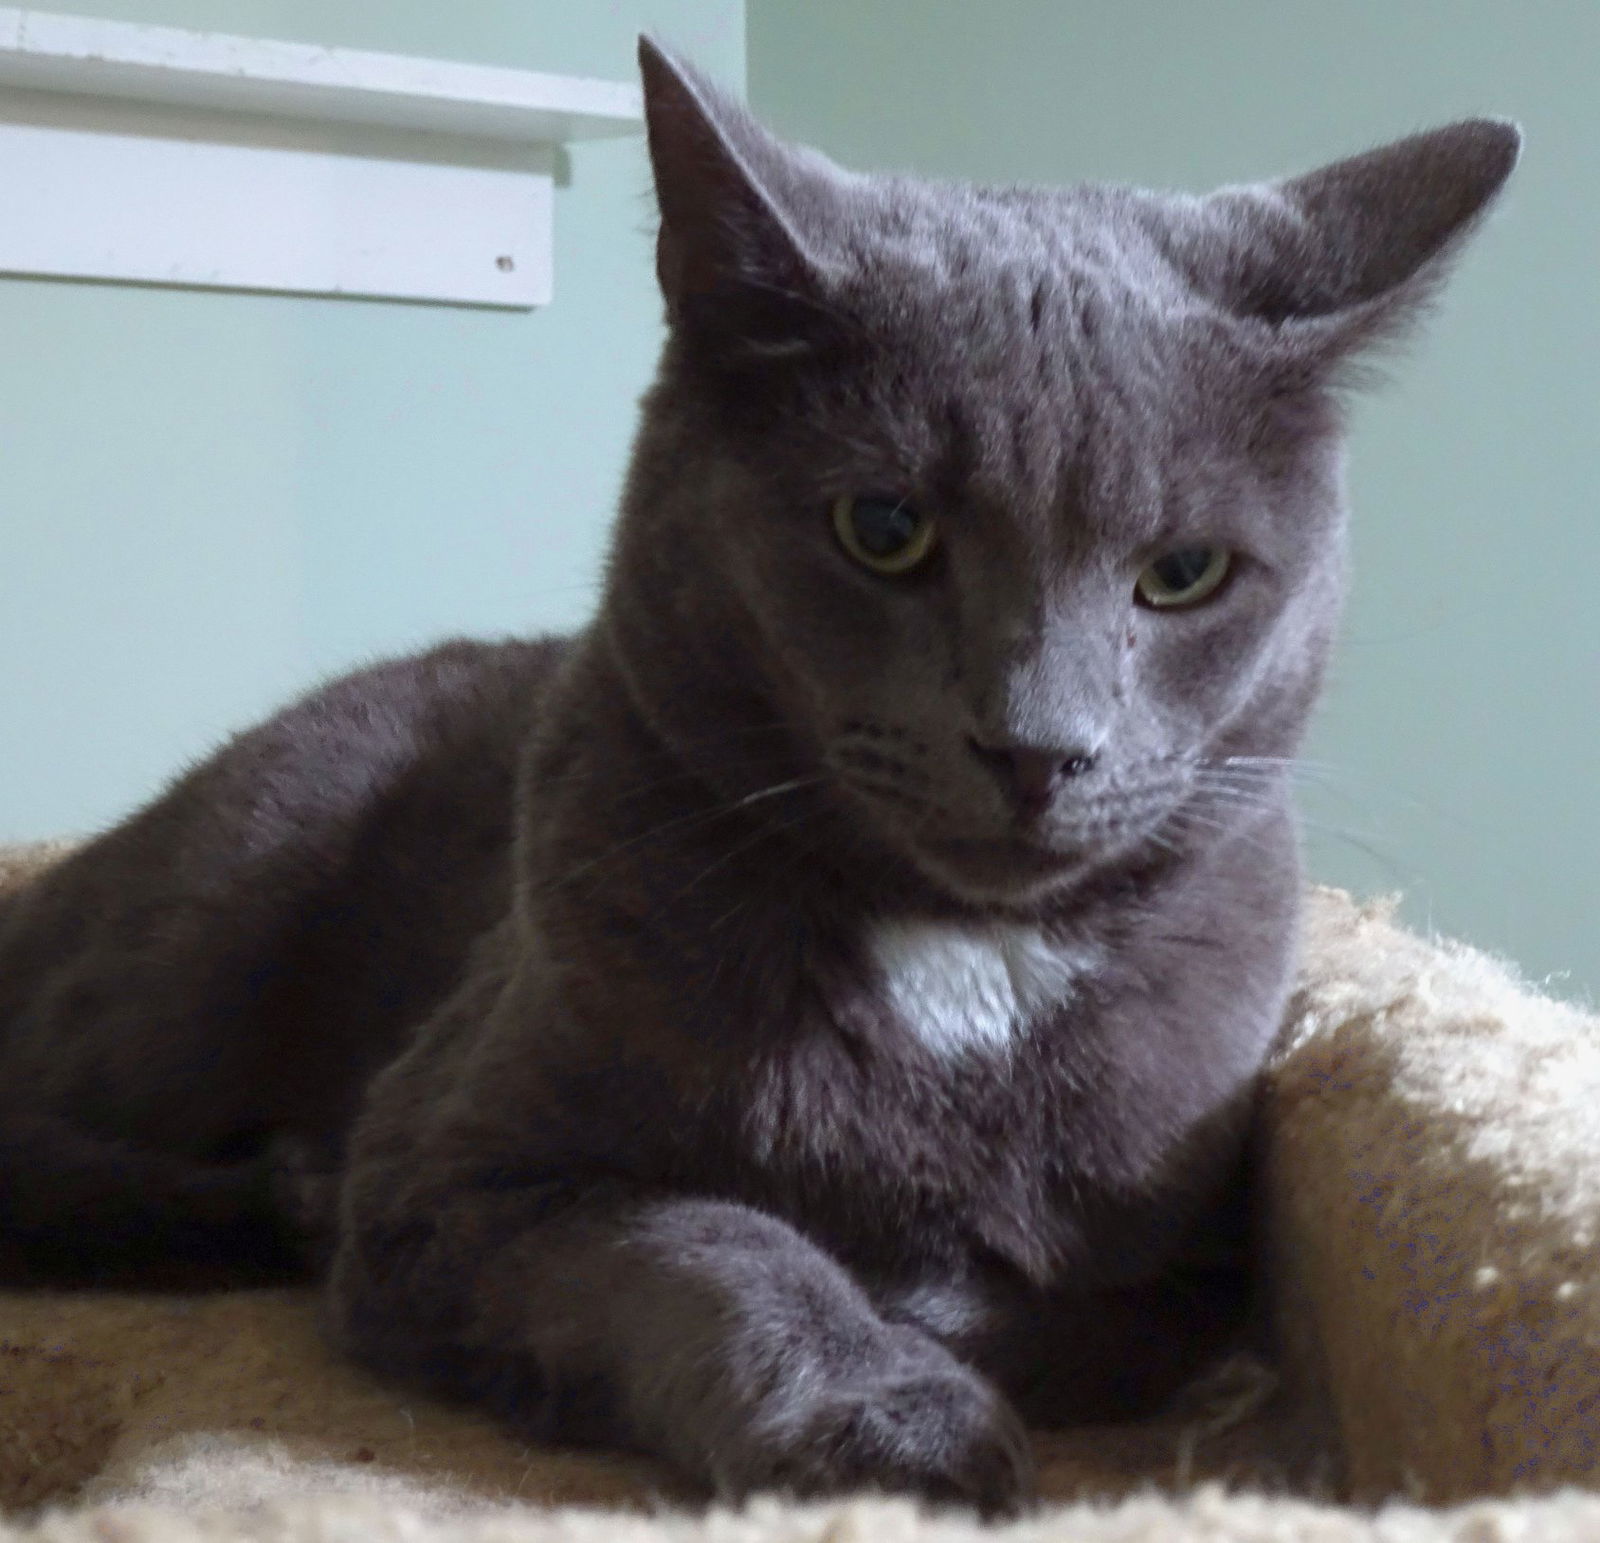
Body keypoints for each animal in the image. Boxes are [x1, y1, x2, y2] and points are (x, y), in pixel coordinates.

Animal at [0, 39, 1510, 1517]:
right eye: (884, 528)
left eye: (1185, 572)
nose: (1037, 744)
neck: (959, 960)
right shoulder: (447, 1169)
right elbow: (707, 1231)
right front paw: (892, 1413)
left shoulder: (1192, 1268)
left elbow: (1066, 1310)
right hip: (208, 933)